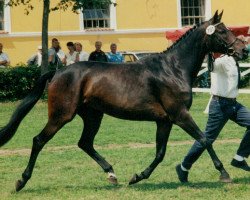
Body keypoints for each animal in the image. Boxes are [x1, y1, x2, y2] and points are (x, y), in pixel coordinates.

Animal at [0, 10, 248, 192]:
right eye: (222, 31)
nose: (242, 50)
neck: (173, 68)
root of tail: (58, 72)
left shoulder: (164, 121)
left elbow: (160, 153)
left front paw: (137, 177)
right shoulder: (180, 115)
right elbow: (205, 139)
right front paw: (224, 174)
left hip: (93, 115)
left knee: (85, 143)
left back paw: (112, 174)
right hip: (62, 115)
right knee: (39, 140)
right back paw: (21, 181)